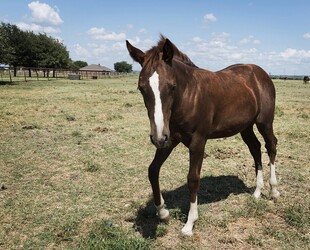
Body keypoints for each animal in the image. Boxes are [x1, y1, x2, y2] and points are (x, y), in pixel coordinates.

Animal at [124, 35, 280, 236]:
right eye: (141, 88)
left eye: (172, 86)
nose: (157, 138)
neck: (189, 96)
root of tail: (261, 73)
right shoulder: (170, 139)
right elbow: (153, 170)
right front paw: (163, 212)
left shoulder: (197, 141)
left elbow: (193, 179)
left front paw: (189, 224)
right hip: (245, 127)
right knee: (255, 148)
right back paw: (257, 192)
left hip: (264, 122)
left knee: (271, 146)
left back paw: (274, 190)